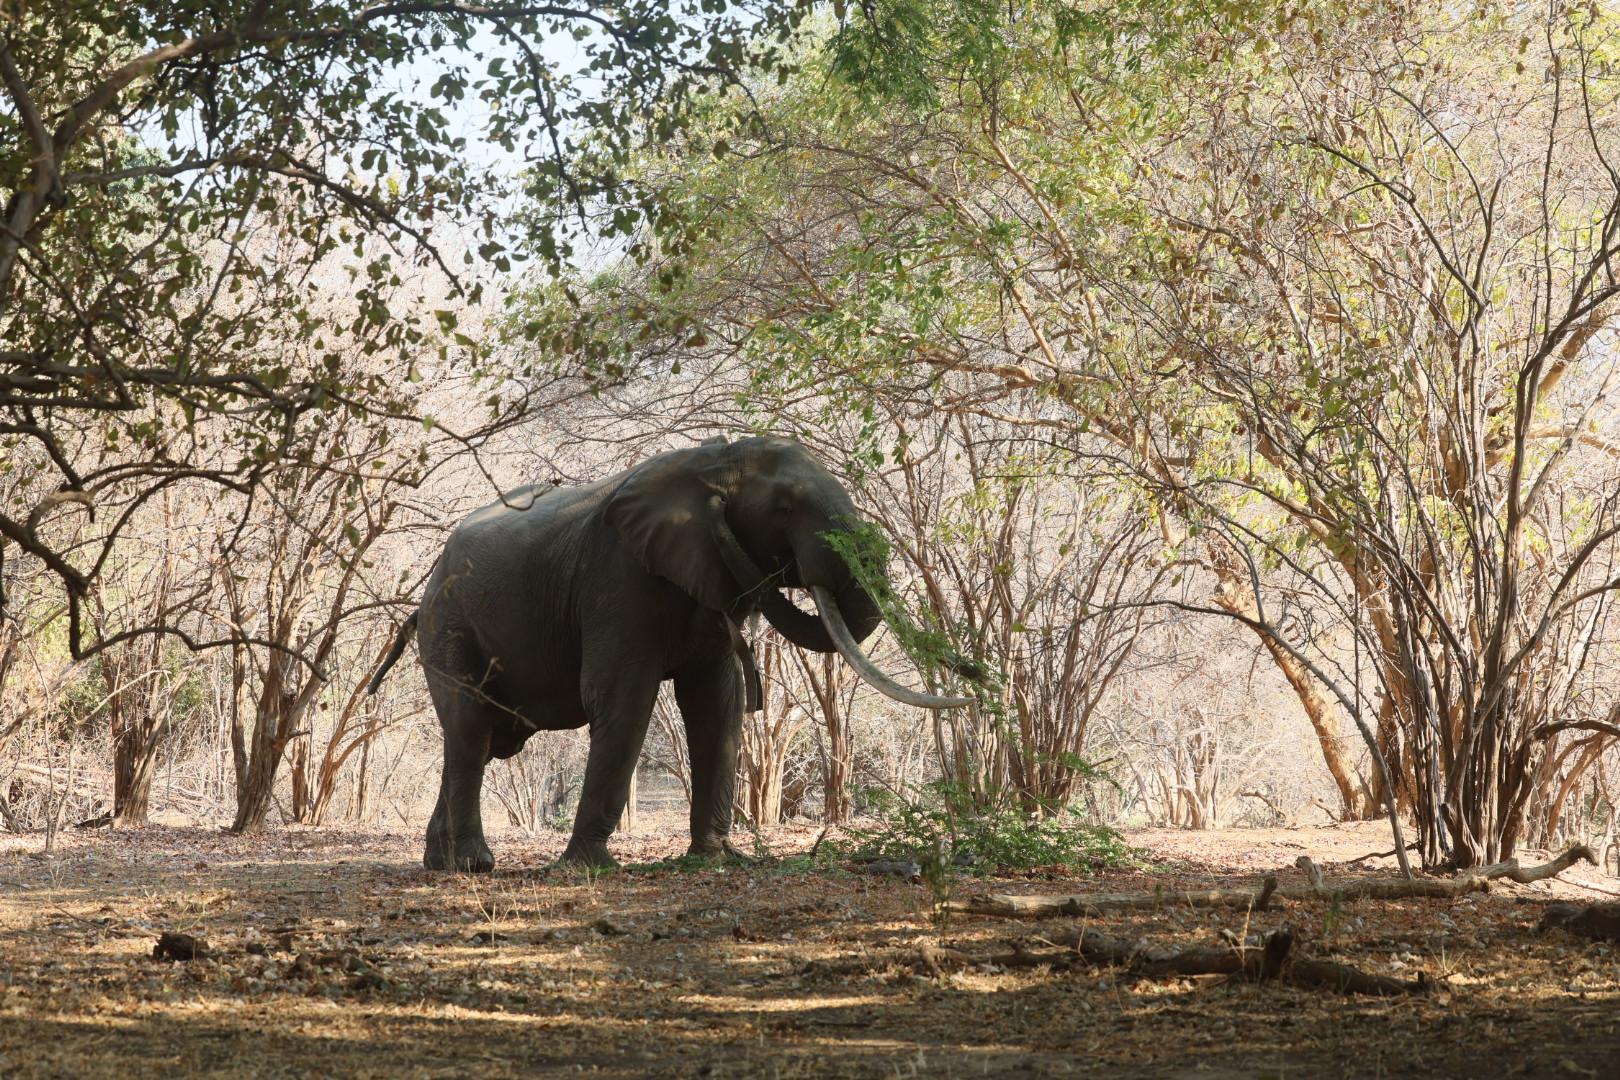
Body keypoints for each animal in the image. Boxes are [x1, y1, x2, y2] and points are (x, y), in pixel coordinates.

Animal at [367, 435, 969, 871]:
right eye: (784, 508)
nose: (974, 681)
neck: (714, 463)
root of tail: (423, 597)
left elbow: (716, 705)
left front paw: (716, 860)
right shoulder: (617, 579)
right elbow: (623, 699)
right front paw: (586, 868)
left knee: (478, 738)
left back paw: (438, 864)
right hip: (449, 626)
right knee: (471, 730)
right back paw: (474, 866)